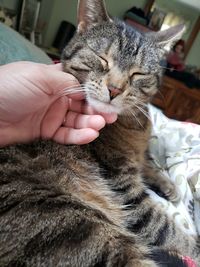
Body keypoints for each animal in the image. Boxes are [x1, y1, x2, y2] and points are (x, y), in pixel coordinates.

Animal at [0, 0, 199, 267]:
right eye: (102, 59)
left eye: (138, 74)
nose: (114, 89)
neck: (134, 124)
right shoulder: (126, 191)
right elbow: (168, 230)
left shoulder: (138, 155)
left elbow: (148, 162)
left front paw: (167, 183)